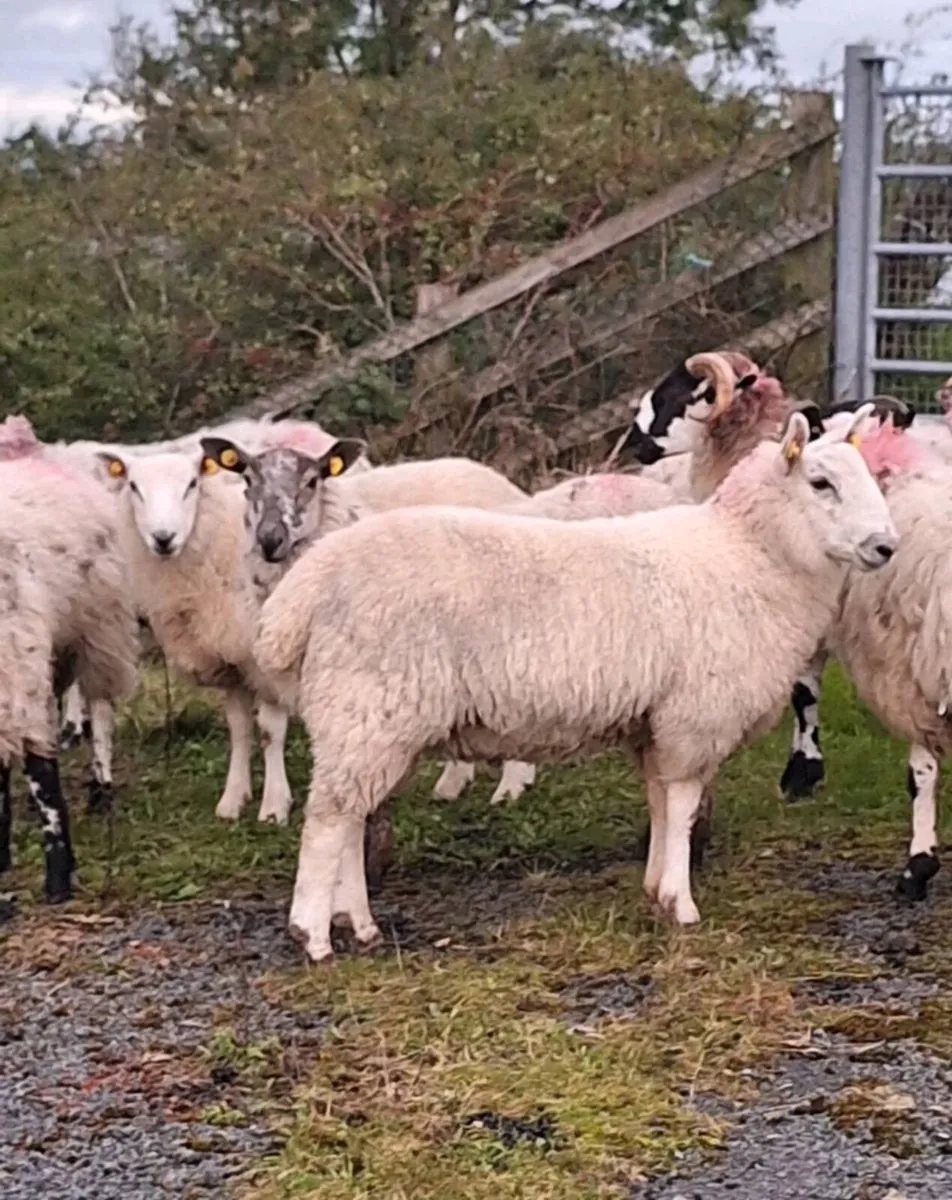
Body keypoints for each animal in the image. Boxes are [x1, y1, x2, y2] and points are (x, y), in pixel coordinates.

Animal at [251, 406, 897, 962]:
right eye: (820, 483)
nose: (886, 547)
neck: (749, 555)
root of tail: (304, 589)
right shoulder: (694, 715)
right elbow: (684, 804)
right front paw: (681, 903)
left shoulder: (655, 721)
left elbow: (660, 803)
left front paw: (655, 888)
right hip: (370, 705)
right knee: (329, 821)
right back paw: (312, 934)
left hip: (363, 717)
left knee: (349, 816)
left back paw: (357, 924)